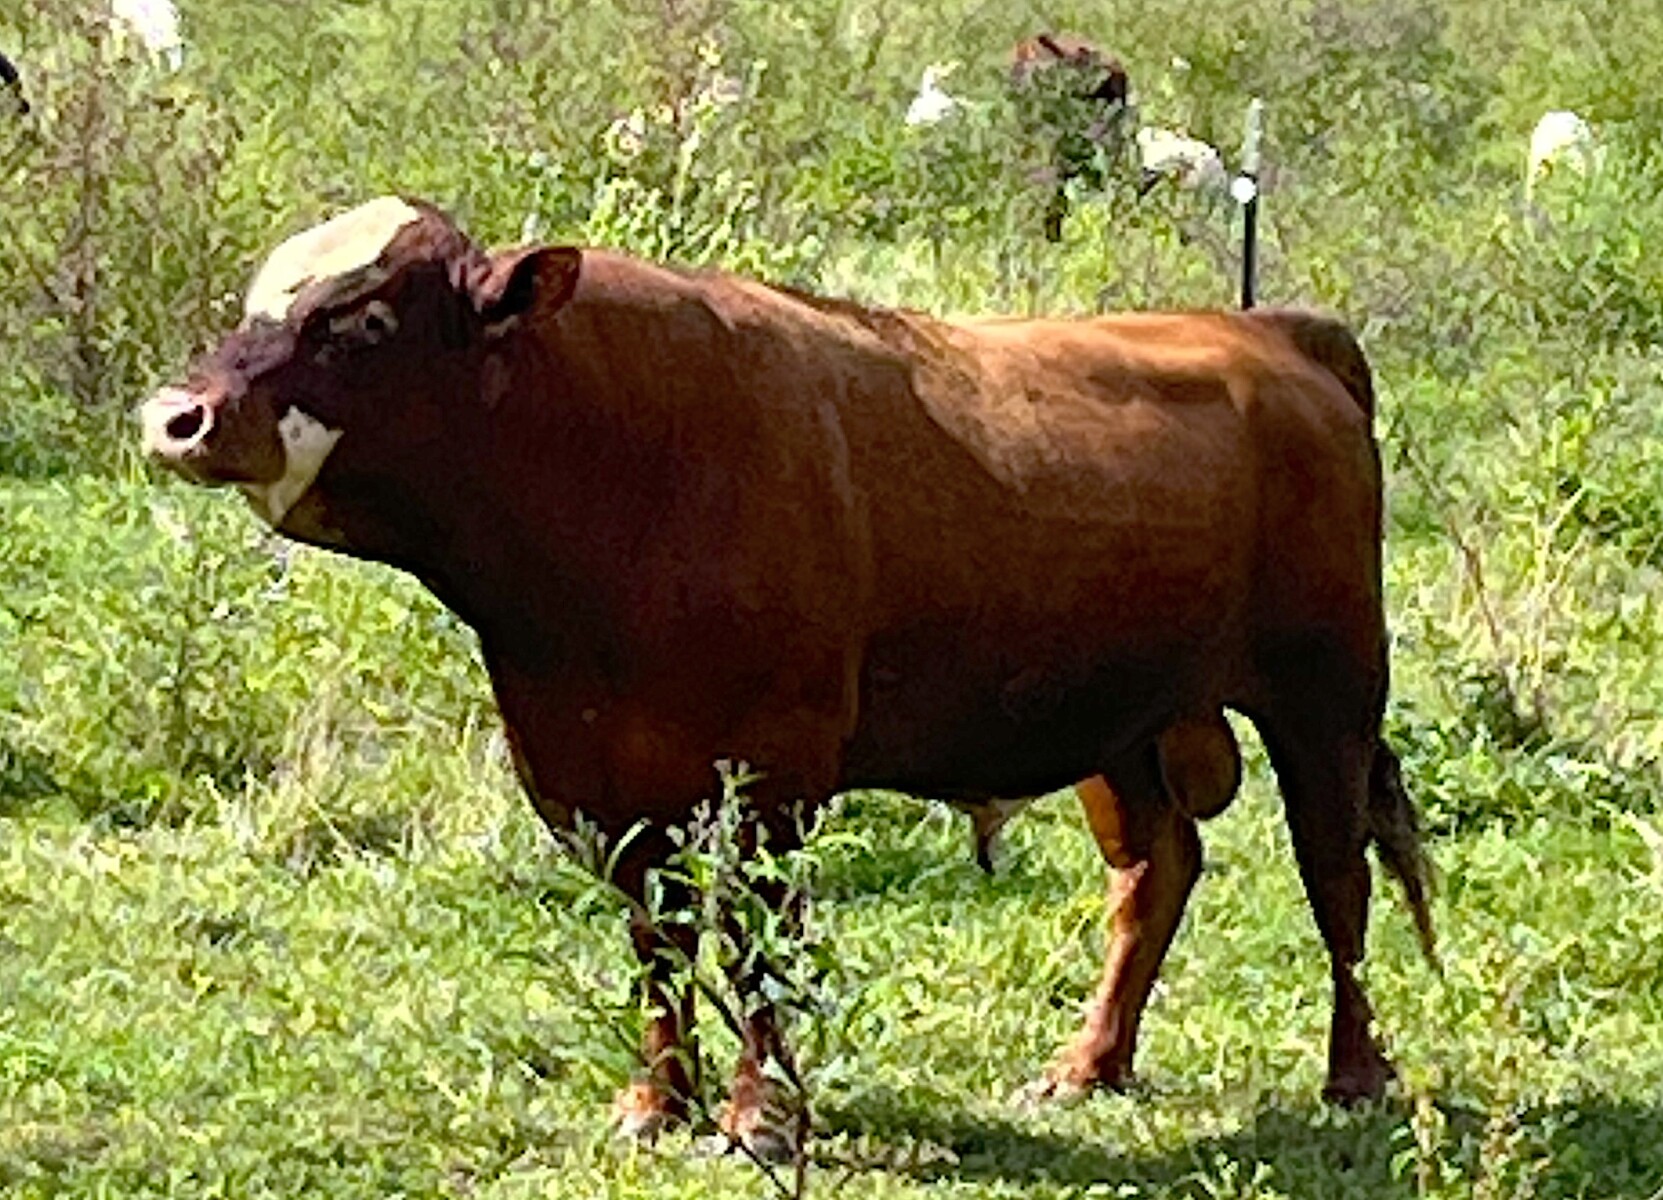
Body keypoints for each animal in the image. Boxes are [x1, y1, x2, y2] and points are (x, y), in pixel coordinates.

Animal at [140, 196, 1434, 1153]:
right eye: (260, 302)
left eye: (359, 322)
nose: (176, 416)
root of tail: (1270, 334)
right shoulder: (594, 774)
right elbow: (658, 938)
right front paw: (657, 1102)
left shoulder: (775, 773)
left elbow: (758, 942)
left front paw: (762, 1115)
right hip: (1122, 723)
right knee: (1157, 871)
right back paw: (1088, 1062)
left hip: (1326, 694)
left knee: (1337, 879)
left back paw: (1354, 1075)